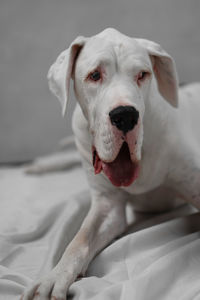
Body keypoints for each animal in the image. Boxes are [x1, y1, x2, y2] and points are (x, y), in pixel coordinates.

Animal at [21, 27, 200, 298]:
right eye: (95, 75)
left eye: (142, 74)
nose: (125, 115)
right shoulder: (107, 207)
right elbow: (79, 241)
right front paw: (53, 278)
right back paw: (39, 165)